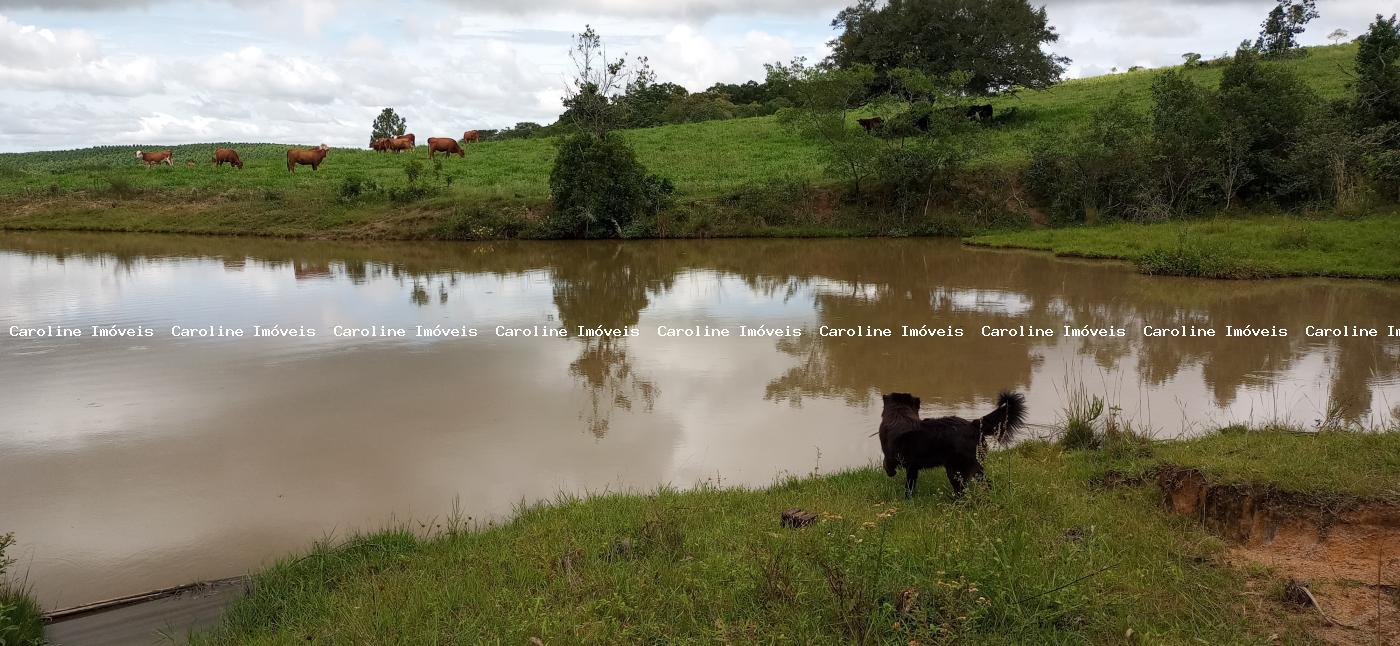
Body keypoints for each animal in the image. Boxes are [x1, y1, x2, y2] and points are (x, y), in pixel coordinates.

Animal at [873, 389, 1030, 496]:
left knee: (962, 491)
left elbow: (887, 466)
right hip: (975, 467)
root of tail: (973, 424)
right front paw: (909, 498)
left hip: (955, 469)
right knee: (985, 483)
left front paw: (892, 475)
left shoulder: (891, 457)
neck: (899, 414)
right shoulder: (913, 467)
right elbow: (910, 484)